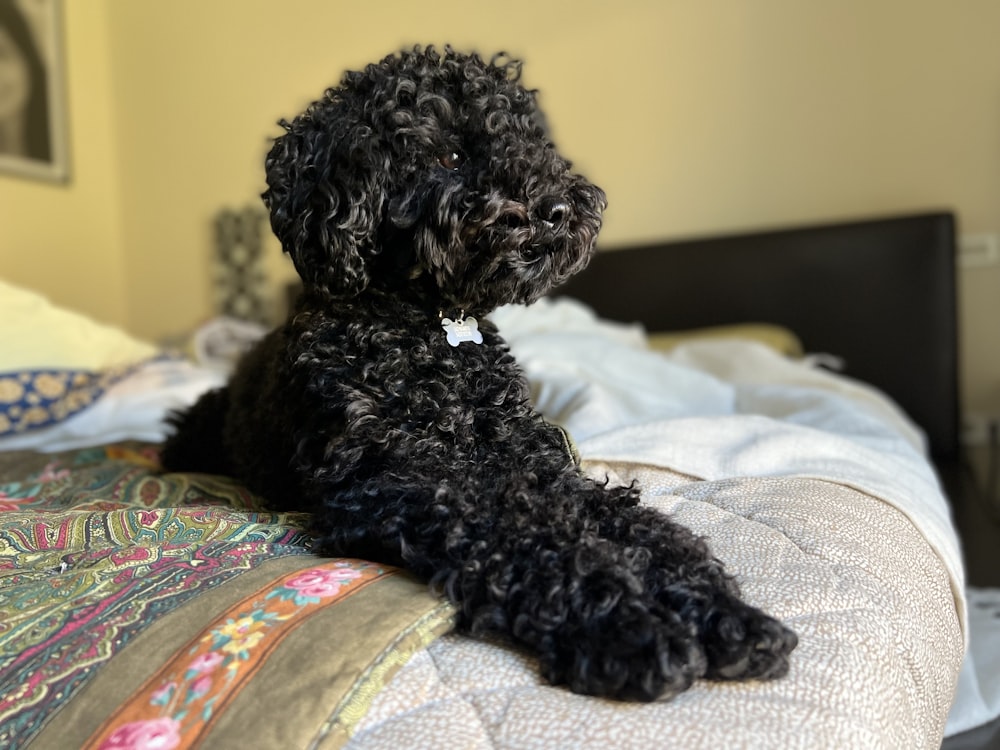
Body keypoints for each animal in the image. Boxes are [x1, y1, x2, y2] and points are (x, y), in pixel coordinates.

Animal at [160, 48, 796, 704]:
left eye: (530, 141)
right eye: (448, 155)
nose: (558, 209)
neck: (429, 326)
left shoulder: (533, 462)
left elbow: (638, 527)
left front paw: (718, 610)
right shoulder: (406, 480)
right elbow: (528, 537)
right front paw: (628, 625)